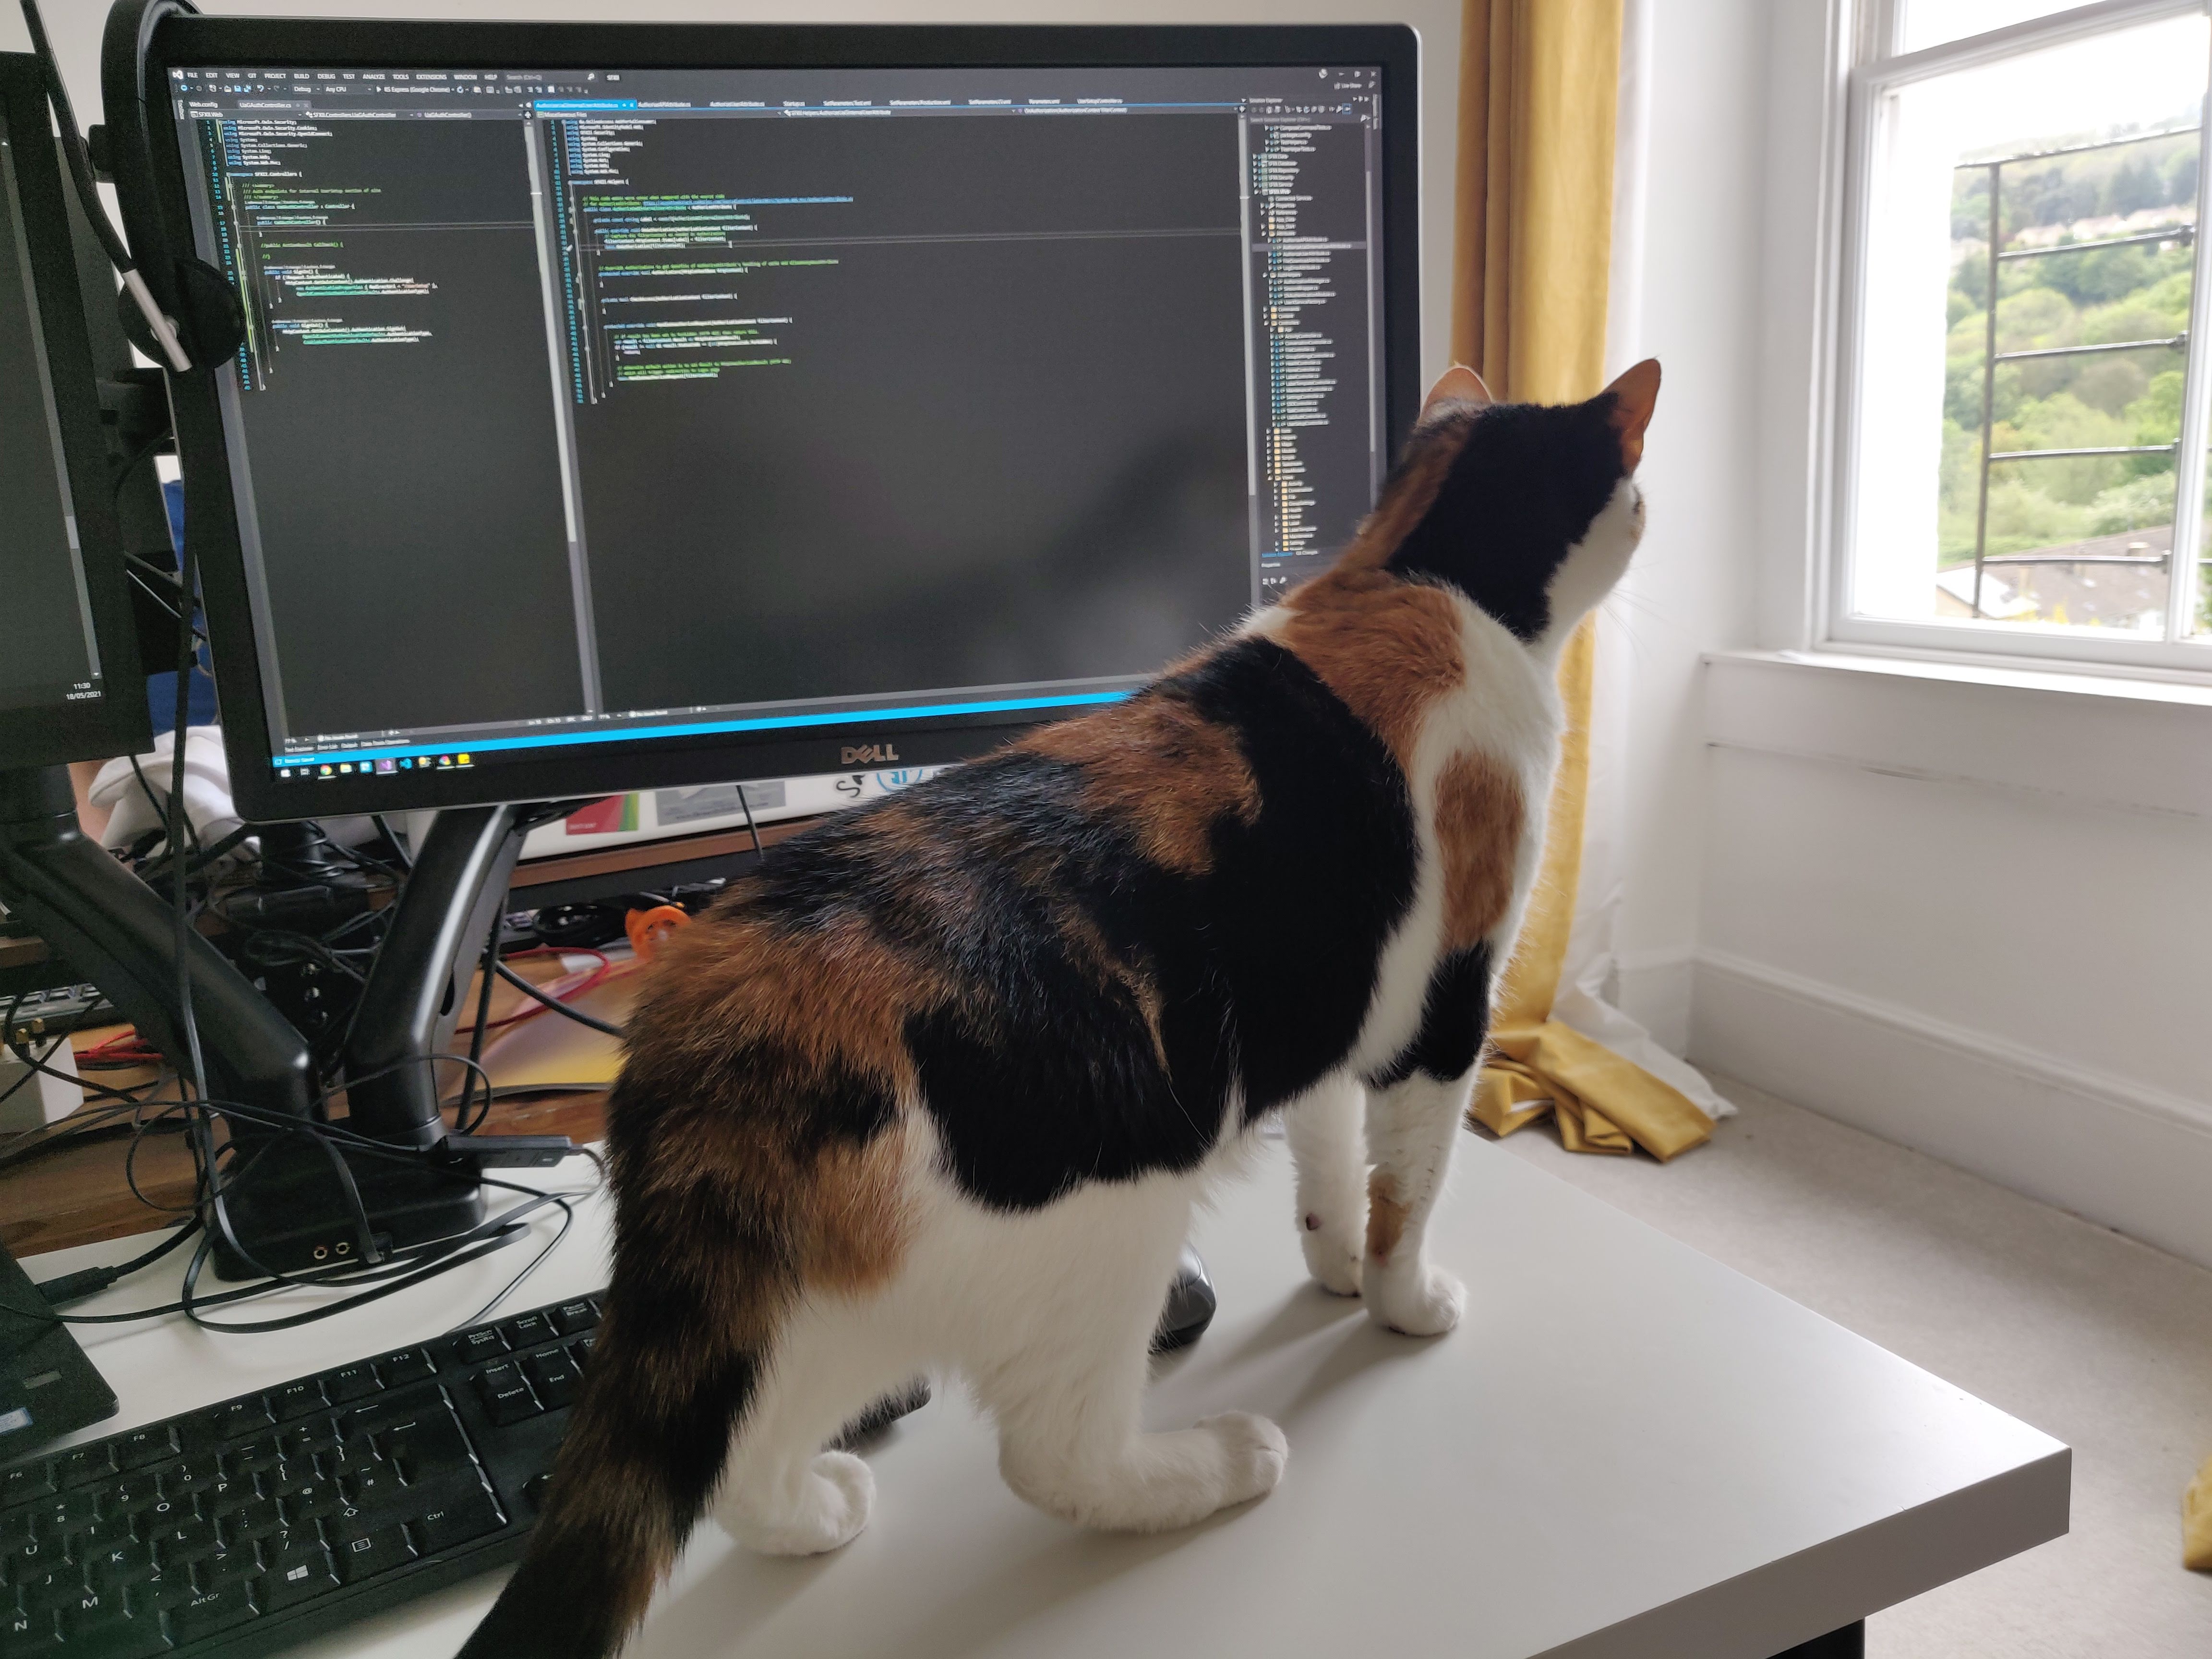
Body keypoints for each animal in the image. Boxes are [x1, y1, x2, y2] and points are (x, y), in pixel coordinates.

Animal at [458, 357, 1660, 1659]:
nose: (1652, 511)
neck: (1417, 569)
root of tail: (731, 994)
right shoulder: (1440, 1016)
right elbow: (1410, 1190)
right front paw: (1401, 1301)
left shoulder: (1331, 1013)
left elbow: (1333, 1164)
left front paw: (1335, 1263)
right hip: (1109, 1212)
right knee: (1053, 1457)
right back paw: (1218, 1463)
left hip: (834, 1298)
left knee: (738, 1452)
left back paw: (814, 1511)